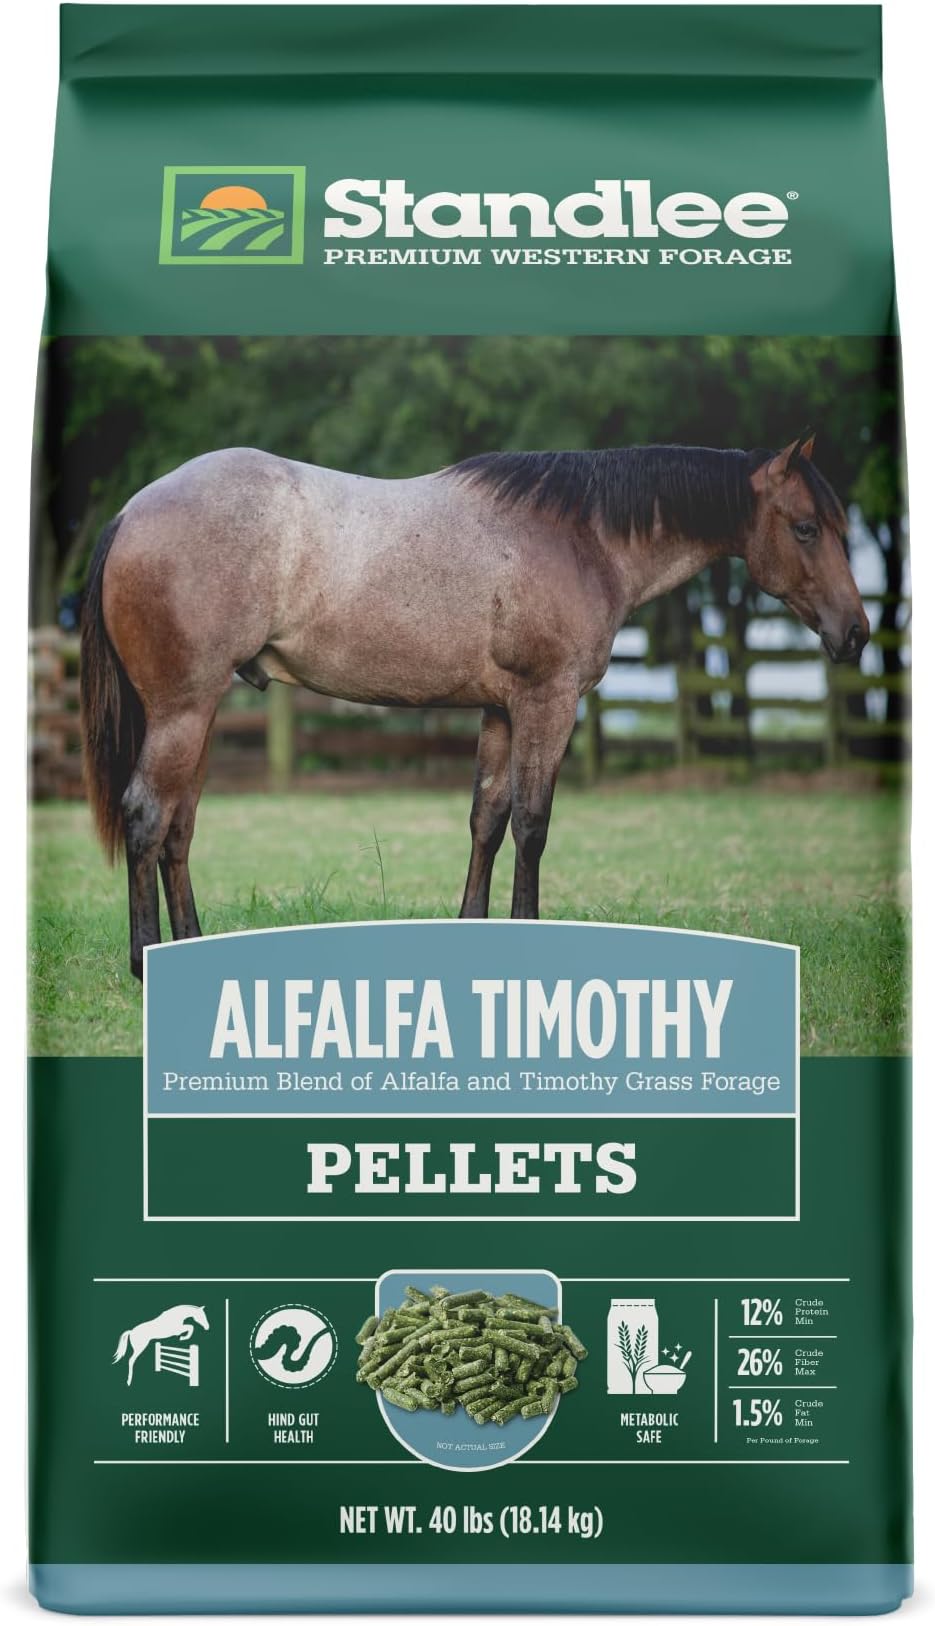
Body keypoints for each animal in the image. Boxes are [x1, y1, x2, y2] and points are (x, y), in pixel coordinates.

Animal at [79, 433, 868, 978]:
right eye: (805, 527)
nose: (855, 632)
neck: (581, 537)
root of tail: (130, 512)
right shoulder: (547, 703)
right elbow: (531, 825)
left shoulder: (501, 712)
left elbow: (486, 822)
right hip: (182, 711)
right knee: (147, 816)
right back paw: (144, 962)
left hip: (201, 713)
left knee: (178, 829)